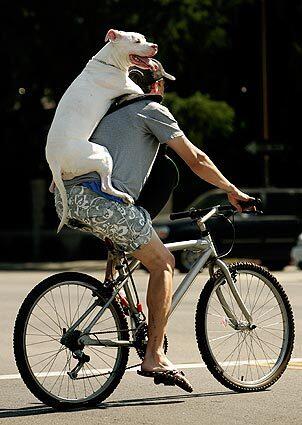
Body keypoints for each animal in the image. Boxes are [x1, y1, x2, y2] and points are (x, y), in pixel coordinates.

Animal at [46, 29, 159, 232]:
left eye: (144, 38)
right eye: (136, 41)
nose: (155, 46)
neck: (109, 62)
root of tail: (55, 162)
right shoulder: (134, 89)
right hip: (102, 155)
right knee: (106, 186)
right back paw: (124, 196)